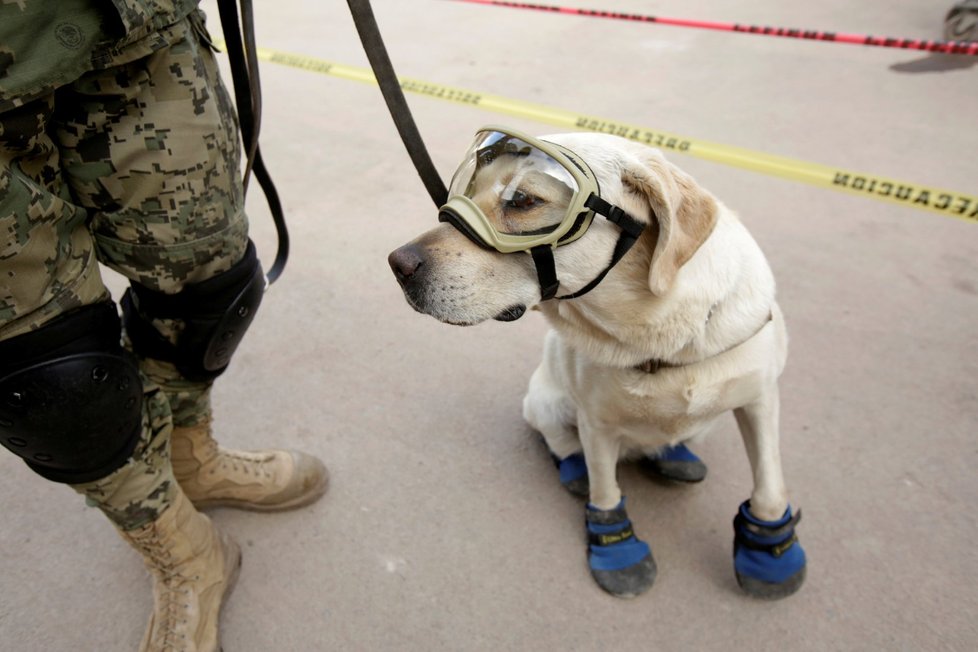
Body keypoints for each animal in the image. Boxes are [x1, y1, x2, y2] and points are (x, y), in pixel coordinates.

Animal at [386, 127, 804, 600]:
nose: (397, 264)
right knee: (559, 441)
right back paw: (576, 469)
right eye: (468, 190)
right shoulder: (597, 423)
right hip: (545, 402)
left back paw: (676, 456)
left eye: (522, 200)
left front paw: (769, 550)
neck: (662, 342)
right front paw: (617, 550)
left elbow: (770, 484)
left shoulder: (761, 399)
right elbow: (605, 491)